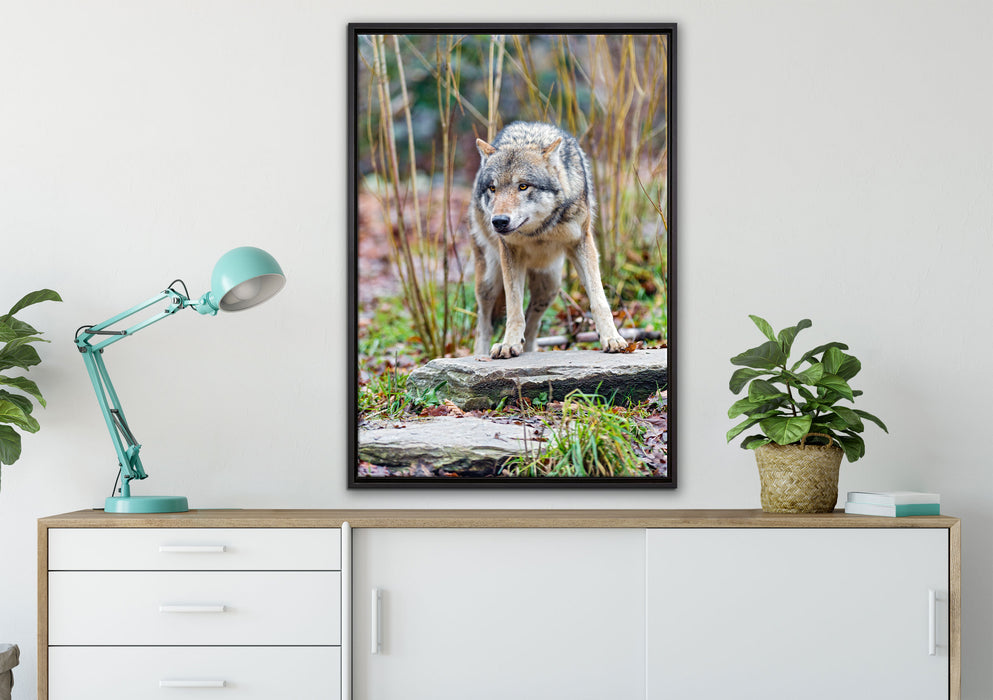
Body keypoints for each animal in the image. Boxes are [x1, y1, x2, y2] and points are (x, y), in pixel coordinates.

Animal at [470, 121, 627, 359]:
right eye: (493, 188)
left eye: (523, 186)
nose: (498, 221)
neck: (539, 232)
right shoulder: (510, 252)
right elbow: (514, 308)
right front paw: (508, 344)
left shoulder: (582, 243)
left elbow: (599, 300)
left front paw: (612, 339)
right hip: (488, 282)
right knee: (484, 324)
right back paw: (482, 353)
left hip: (549, 287)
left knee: (532, 324)